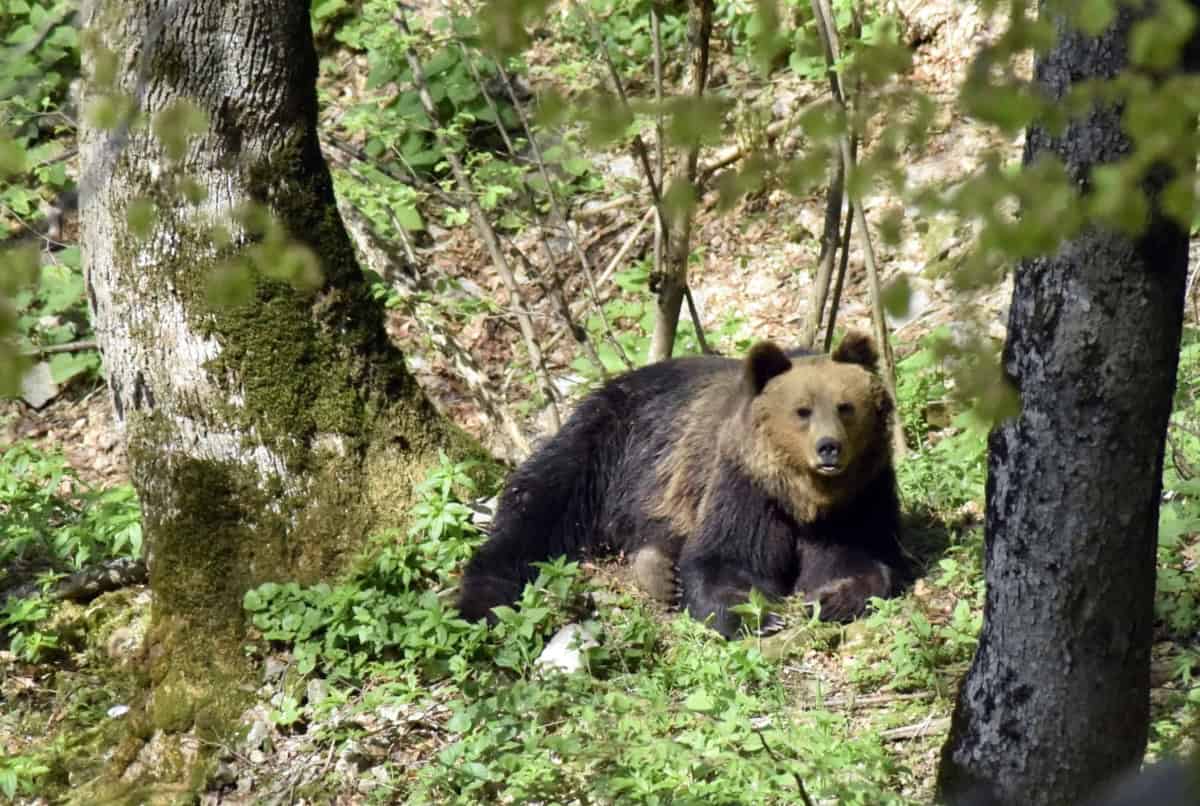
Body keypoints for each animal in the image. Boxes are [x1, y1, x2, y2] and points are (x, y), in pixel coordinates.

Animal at [456, 331, 907, 638]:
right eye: (802, 411)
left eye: (846, 407)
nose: (829, 448)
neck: (802, 496)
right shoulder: (743, 487)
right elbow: (723, 559)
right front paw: (756, 615)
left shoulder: (861, 495)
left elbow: (858, 557)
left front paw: (834, 598)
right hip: (611, 447)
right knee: (538, 502)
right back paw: (484, 598)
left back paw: (657, 568)